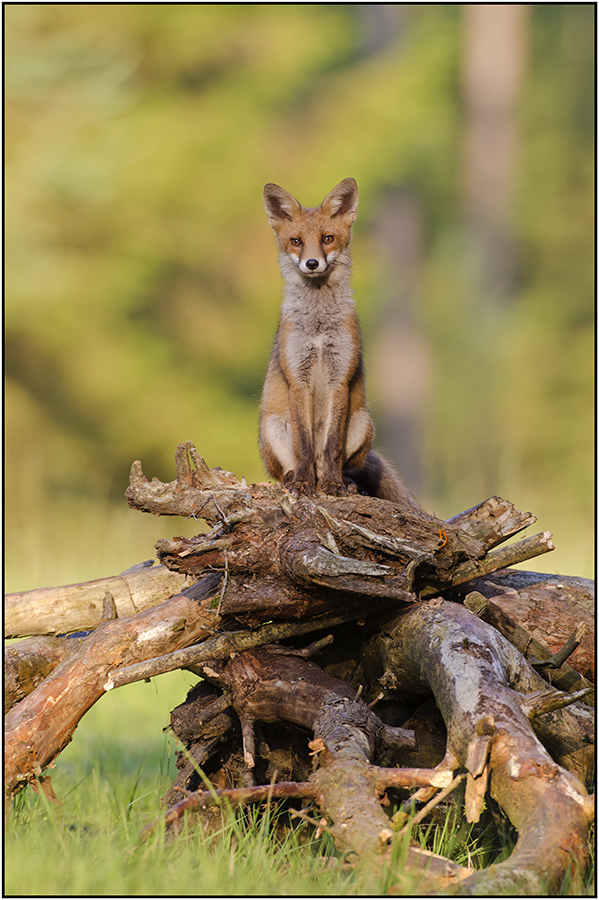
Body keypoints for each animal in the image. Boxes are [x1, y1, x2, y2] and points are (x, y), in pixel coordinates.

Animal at [258, 178, 422, 512]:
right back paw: (295, 479)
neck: (319, 325)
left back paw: (341, 482)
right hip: (274, 427)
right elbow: (305, 445)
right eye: (296, 241)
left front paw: (333, 485)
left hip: (361, 422)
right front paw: (303, 484)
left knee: (344, 466)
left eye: (327, 239)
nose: (312, 263)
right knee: (286, 469)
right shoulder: (299, 379)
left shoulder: (340, 378)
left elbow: (330, 446)